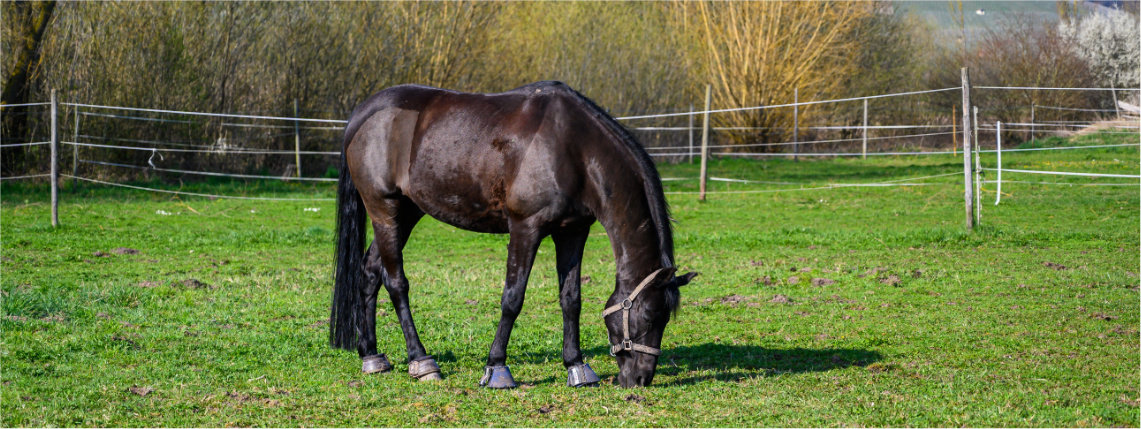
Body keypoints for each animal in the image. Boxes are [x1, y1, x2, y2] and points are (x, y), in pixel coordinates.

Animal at [326, 80, 689, 387]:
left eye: (666, 319)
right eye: (649, 315)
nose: (640, 379)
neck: (572, 148)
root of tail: (361, 114)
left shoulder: (572, 231)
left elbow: (571, 299)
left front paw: (576, 365)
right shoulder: (525, 227)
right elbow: (513, 298)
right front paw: (497, 367)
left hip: (407, 212)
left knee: (370, 272)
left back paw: (372, 355)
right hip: (384, 209)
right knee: (396, 282)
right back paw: (421, 360)